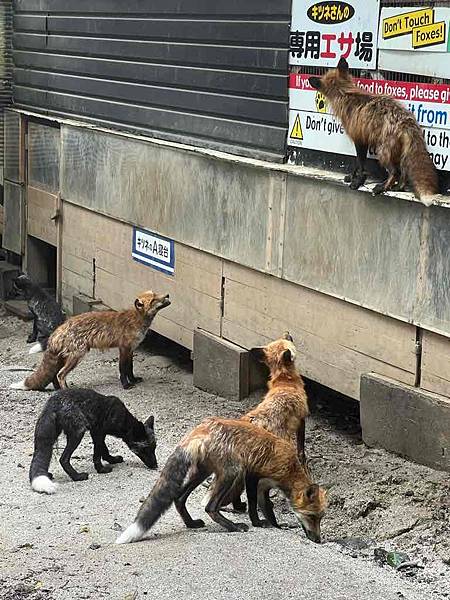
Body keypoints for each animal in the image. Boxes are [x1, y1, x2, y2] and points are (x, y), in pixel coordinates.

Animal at [10, 290, 170, 392]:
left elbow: (130, 368)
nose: (168, 295)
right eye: (154, 299)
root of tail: (59, 329)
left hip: (65, 357)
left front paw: (134, 380)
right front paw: (126, 385)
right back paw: (66, 391)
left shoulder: (131, 349)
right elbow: (122, 369)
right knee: (60, 374)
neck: (137, 319)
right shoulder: (124, 348)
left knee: (54, 375)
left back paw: (58, 391)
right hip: (77, 355)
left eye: (158, 294)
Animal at [116, 418, 326, 544]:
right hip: (232, 472)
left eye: (320, 518)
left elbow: (268, 509)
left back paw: (191, 524)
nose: (318, 540)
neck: (289, 468)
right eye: (311, 517)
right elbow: (253, 507)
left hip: (202, 473)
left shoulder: (263, 487)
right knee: (210, 507)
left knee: (179, 499)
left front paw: (276, 525)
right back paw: (233, 527)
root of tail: (200, 429)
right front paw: (257, 523)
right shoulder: (252, 476)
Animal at [310, 57, 440, 205]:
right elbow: (357, 164)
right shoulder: (362, 139)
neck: (345, 94)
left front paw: (357, 182)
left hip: (382, 152)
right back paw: (397, 188)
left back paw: (382, 188)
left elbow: (361, 165)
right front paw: (352, 177)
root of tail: (406, 121)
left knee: (395, 172)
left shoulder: (359, 139)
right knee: (403, 174)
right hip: (400, 153)